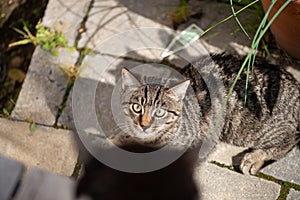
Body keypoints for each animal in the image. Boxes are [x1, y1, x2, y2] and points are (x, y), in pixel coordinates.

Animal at [111, 54, 298, 174]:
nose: (144, 125)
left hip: (248, 130)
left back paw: (254, 159)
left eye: (160, 112)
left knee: (289, 141)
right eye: (137, 108)